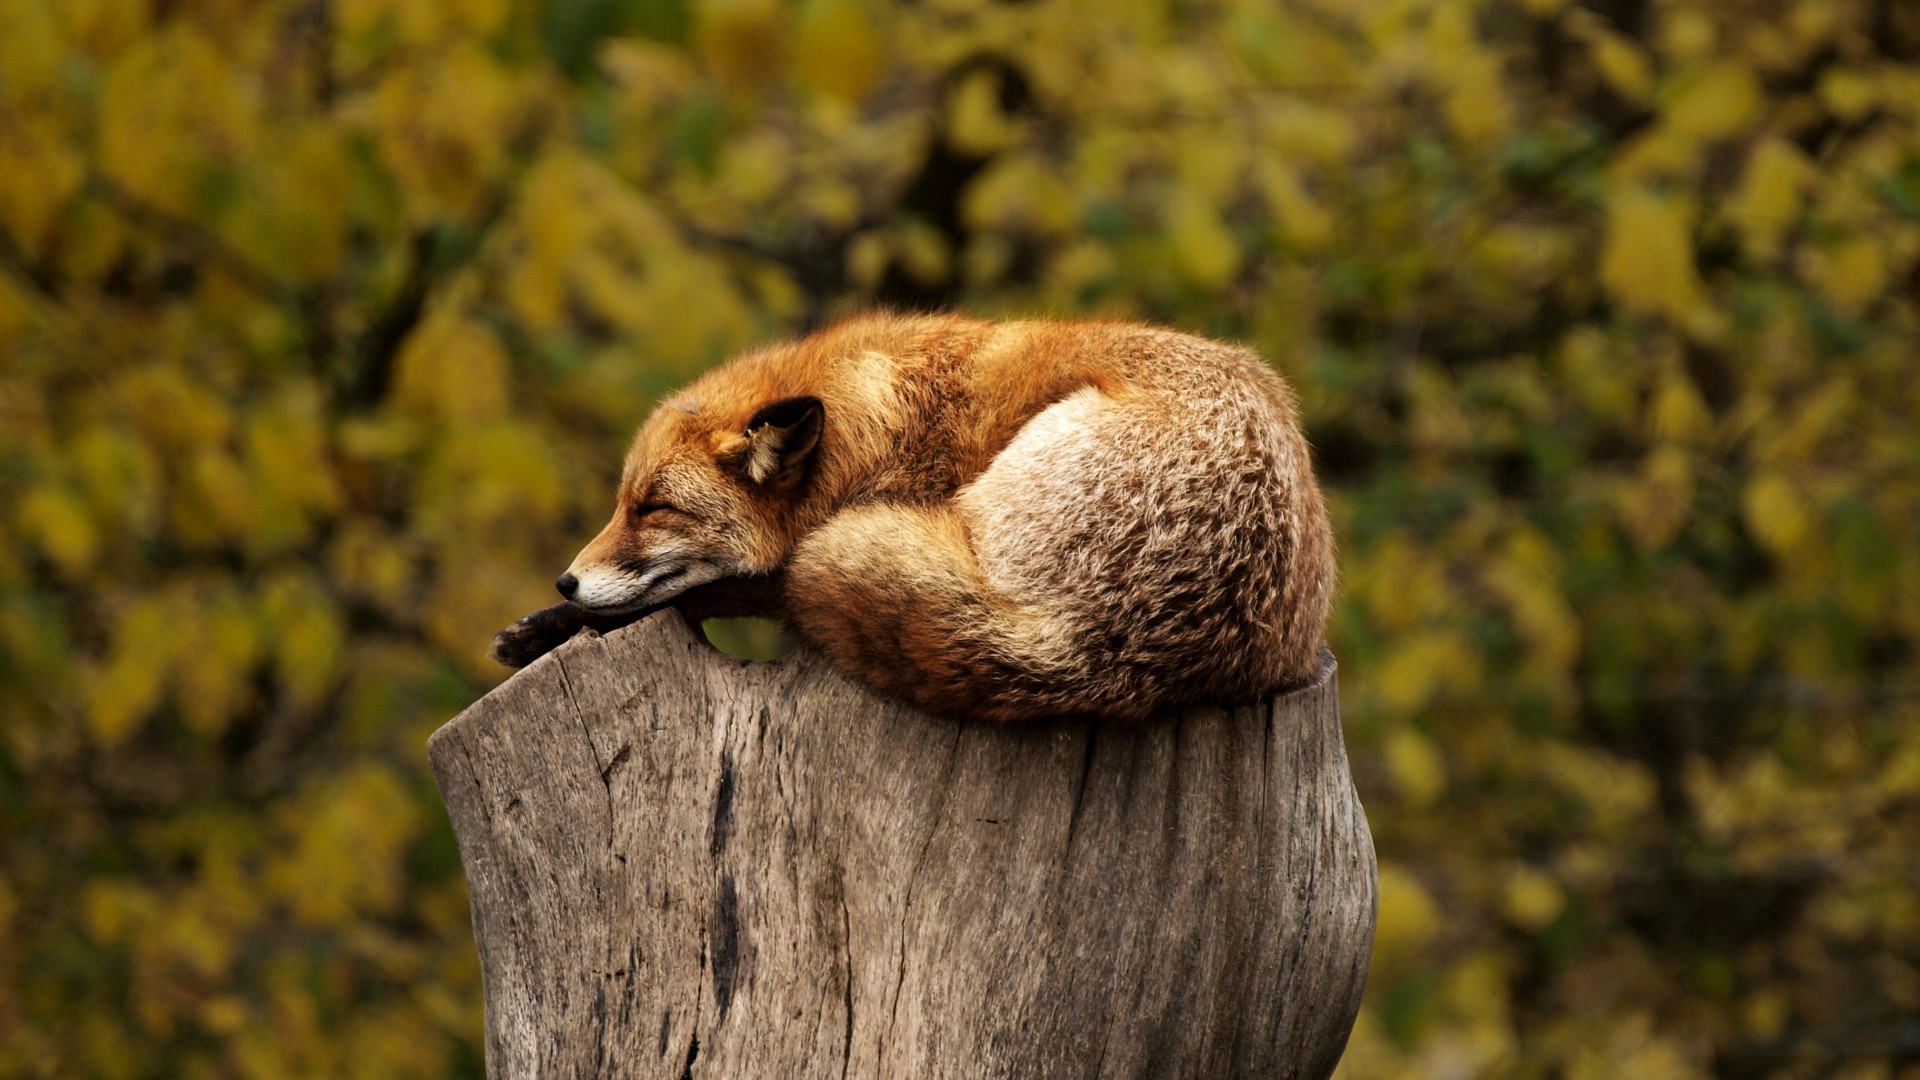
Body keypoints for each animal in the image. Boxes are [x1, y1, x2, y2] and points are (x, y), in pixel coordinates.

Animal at [491, 307, 1336, 718]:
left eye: (654, 508)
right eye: (621, 504)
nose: (566, 581)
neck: (871, 428)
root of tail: (1096, 652)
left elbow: (716, 590)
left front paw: (557, 624)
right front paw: (545, 624)